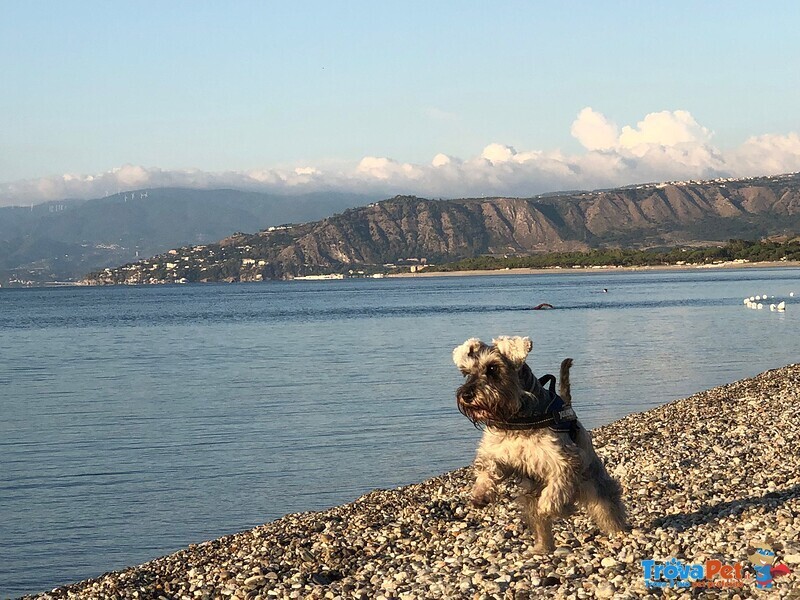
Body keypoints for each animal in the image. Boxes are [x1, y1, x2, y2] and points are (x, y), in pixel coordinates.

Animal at [454, 336, 628, 552]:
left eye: (492, 368)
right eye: (466, 372)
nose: (466, 395)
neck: (516, 418)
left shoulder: (564, 460)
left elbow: (557, 488)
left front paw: (549, 506)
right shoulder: (495, 453)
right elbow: (488, 470)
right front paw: (480, 494)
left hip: (595, 482)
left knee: (608, 507)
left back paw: (618, 531)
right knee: (539, 523)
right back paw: (542, 547)